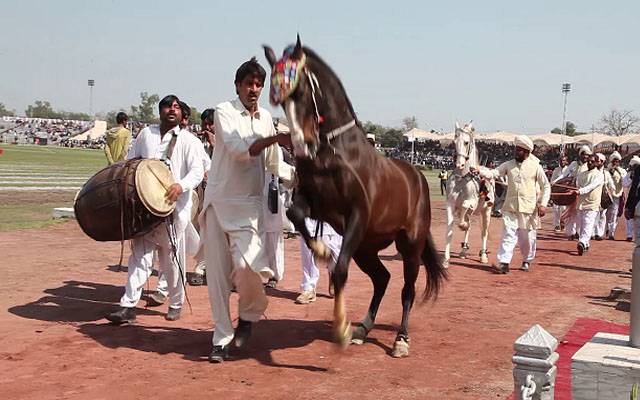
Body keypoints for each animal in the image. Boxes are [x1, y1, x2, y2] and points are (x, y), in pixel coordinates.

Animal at [262, 36, 448, 356]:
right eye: (280, 101)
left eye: (301, 91)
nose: (299, 146)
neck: (336, 153)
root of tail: (418, 178)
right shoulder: (318, 207)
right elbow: (294, 214)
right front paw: (321, 249)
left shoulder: (357, 215)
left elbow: (340, 273)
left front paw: (341, 329)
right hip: (366, 248)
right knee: (382, 279)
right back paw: (364, 328)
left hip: (410, 245)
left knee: (407, 289)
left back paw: (400, 339)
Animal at [442, 120, 492, 268]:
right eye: (454, 141)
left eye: (466, 142)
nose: (459, 164)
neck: (463, 178)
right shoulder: (450, 204)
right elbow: (449, 232)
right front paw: (446, 260)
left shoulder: (472, 202)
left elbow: (465, 206)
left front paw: (462, 225)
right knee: (468, 226)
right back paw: (463, 250)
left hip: (486, 211)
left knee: (484, 232)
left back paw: (483, 255)